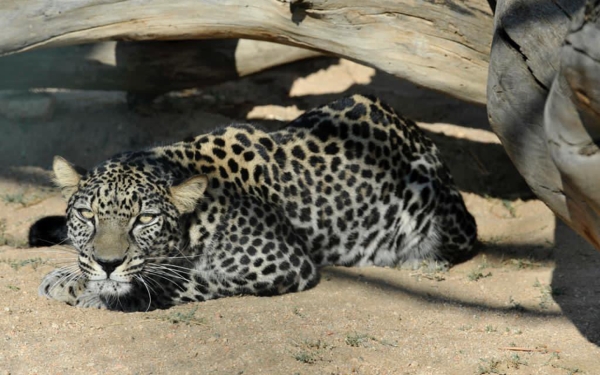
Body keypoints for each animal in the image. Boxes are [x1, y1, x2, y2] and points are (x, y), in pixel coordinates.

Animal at [38, 94, 478, 312]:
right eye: (86, 215)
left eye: (143, 219)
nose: (108, 264)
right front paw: (69, 276)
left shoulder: (282, 261)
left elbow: (184, 280)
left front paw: (102, 293)